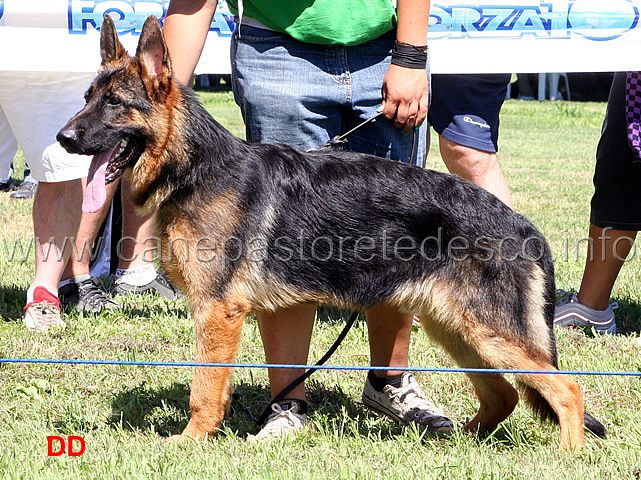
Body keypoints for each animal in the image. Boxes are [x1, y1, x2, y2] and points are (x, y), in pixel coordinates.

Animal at [57, 15, 604, 450]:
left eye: (114, 104)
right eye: (86, 99)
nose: (63, 138)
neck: (196, 168)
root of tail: (524, 226)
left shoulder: (217, 313)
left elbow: (204, 390)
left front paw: (190, 442)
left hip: (488, 332)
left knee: (567, 390)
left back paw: (566, 456)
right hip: (458, 328)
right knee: (504, 395)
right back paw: (460, 441)